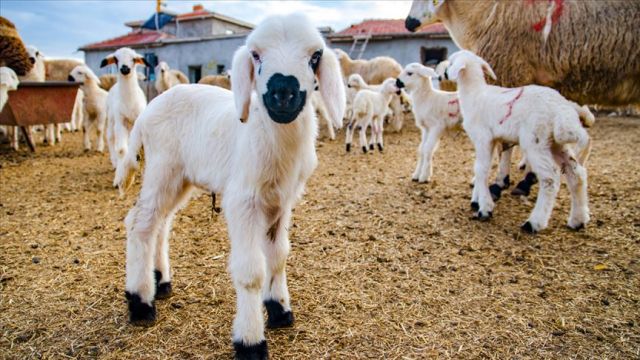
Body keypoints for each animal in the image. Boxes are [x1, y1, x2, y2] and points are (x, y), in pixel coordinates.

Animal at [113, 13, 348, 358]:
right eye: (256, 55)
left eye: (315, 55)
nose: (283, 93)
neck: (270, 137)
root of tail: (147, 112)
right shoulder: (243, 201)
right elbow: (251, 272)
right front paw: (250, 341)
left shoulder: (282, 200)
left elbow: (278, 255)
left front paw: (279, 310)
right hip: (161, 167)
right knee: (140, 223)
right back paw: (140, 302)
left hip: (180, 178)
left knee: (161, 223)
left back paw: (161, 282)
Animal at [448, 50, 592, 233]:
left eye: (451, 62)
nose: (443, 73)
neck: (475, 93)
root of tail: (561, 108)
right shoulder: (492, 139)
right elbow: (482, 169)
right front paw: (477, 200)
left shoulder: (483, 137)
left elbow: (480, 169)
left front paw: (485, 207)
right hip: (556, 143)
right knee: (577, 174)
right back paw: (578, 220)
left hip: (535, 141)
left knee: (550, 178)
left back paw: (534, 222)